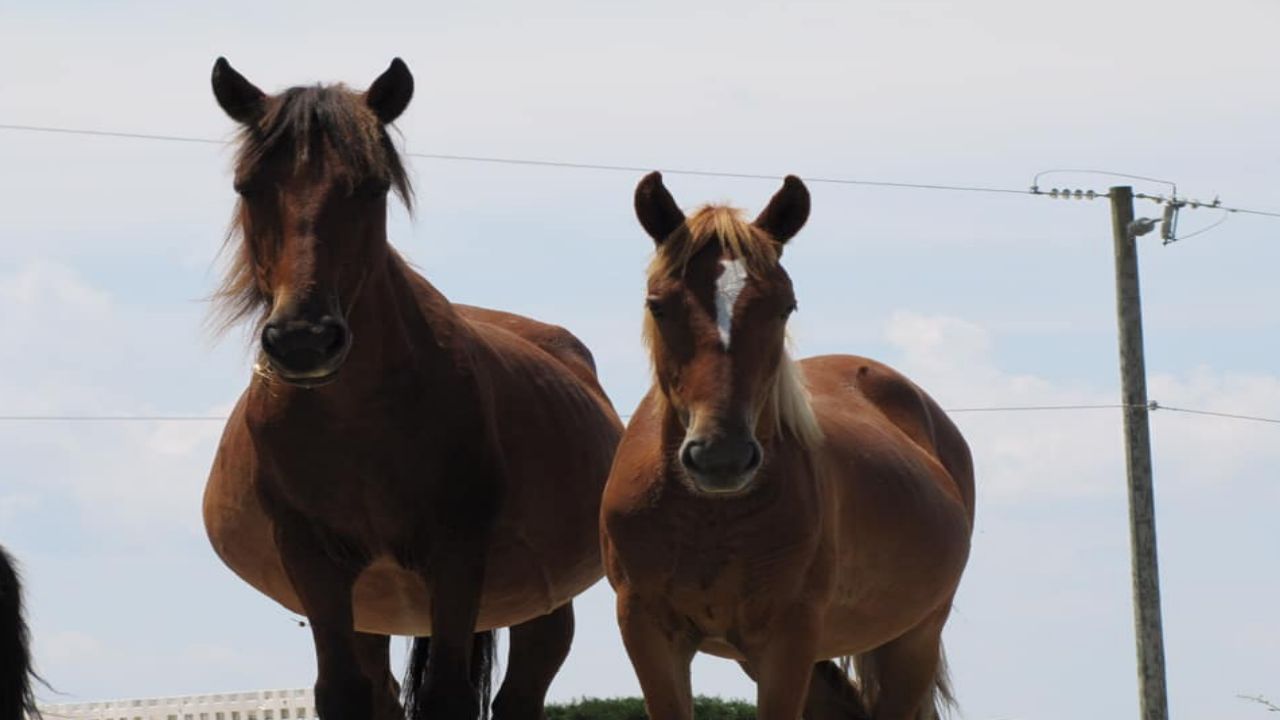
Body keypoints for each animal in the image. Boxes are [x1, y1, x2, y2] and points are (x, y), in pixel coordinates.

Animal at [202, 58, 623, 720]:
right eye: (248, 187)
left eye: (372, 187)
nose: (304, 339)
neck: (357, 421)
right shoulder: (316, 564)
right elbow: (344, 692)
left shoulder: (455, 557)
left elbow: (446, 695)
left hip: (542, 608)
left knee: (518, 696)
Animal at [601, 173, 975, 720]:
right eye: (658, 304)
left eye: (785, 306)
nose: (721, 456)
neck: (707, 518)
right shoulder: (648, 631)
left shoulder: (788, 638)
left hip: (914, 640)